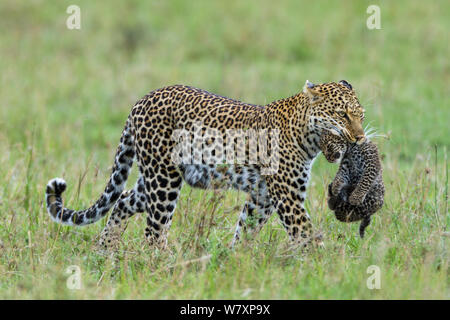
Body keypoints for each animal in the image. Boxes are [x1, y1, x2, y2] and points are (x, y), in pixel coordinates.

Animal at [45, 79, 368, 250]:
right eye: (342, 114)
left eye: (360, 115)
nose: (360, 137)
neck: (307, 136)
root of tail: (141, 100)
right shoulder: (288, 196)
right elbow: (305, 233)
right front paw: (323, 268)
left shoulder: (263, 197)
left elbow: (245, 229)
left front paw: (235, 260)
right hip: (163, 179)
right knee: (154, 231)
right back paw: (164, 264)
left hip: (152, 177)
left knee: (122, 200)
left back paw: (105, 251)